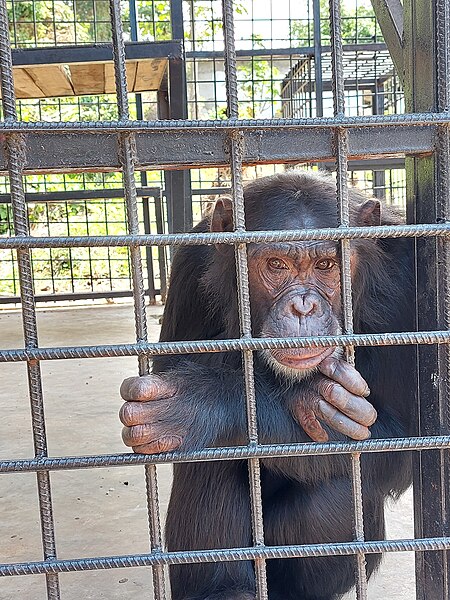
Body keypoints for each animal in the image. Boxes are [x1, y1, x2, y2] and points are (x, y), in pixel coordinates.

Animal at [118, 172, 414, 600]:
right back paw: (222, 590)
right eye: (276, 264)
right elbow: (165, 381)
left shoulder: (409, 276)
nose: (303, 306)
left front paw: (204, 403)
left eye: (326, 265)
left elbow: (407, 439)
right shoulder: (190, 264)